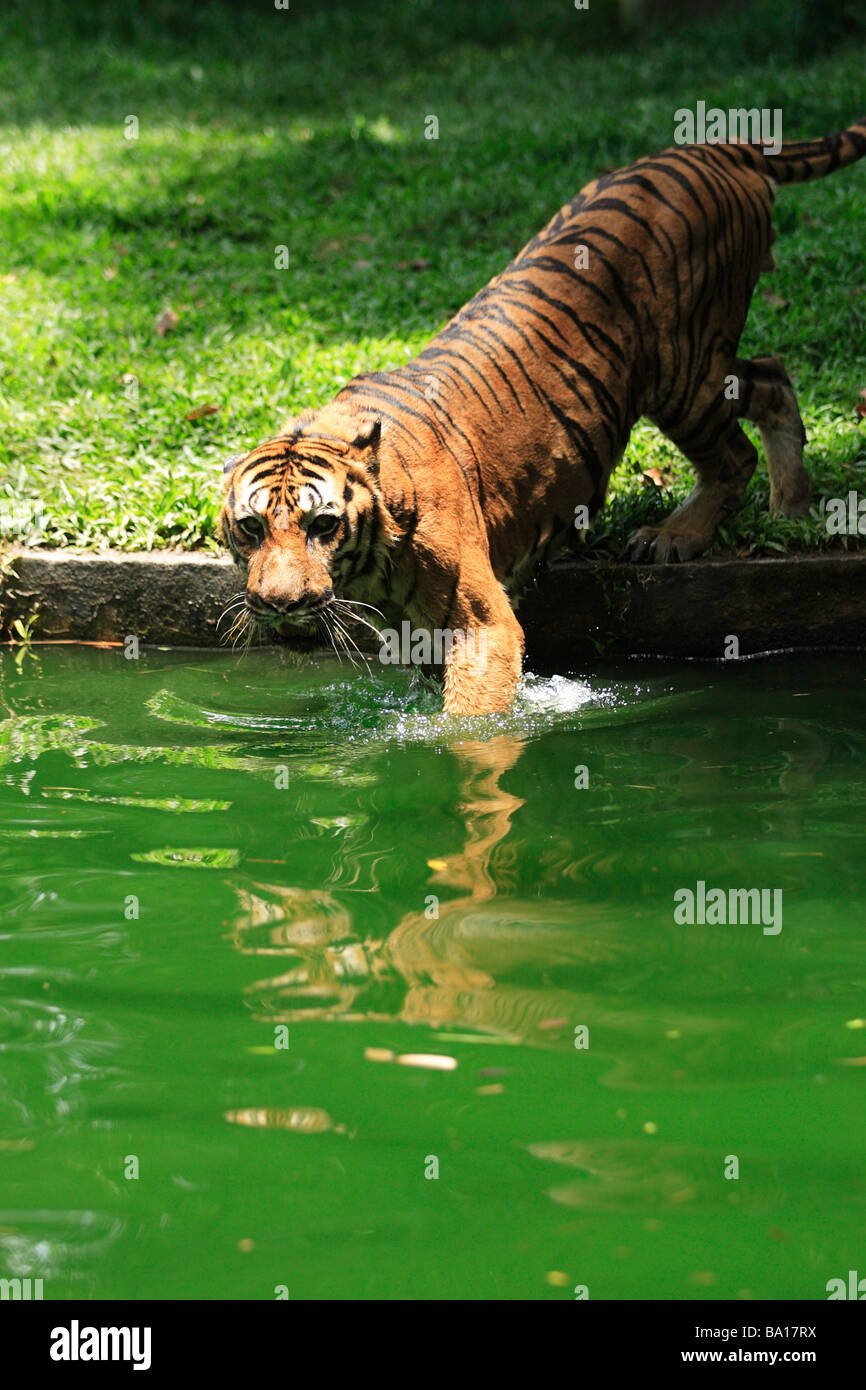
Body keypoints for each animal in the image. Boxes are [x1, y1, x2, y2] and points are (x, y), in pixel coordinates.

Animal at [222, 113, 866, 711]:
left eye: (323, 525)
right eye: (251, 527)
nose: (280, 604)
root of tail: (710, 148)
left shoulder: (480, 622)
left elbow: (470, 724)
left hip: (683, 372)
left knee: (735, 452)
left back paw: (672, 535)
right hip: (704, 370)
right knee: (775, 375)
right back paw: (790, 507)